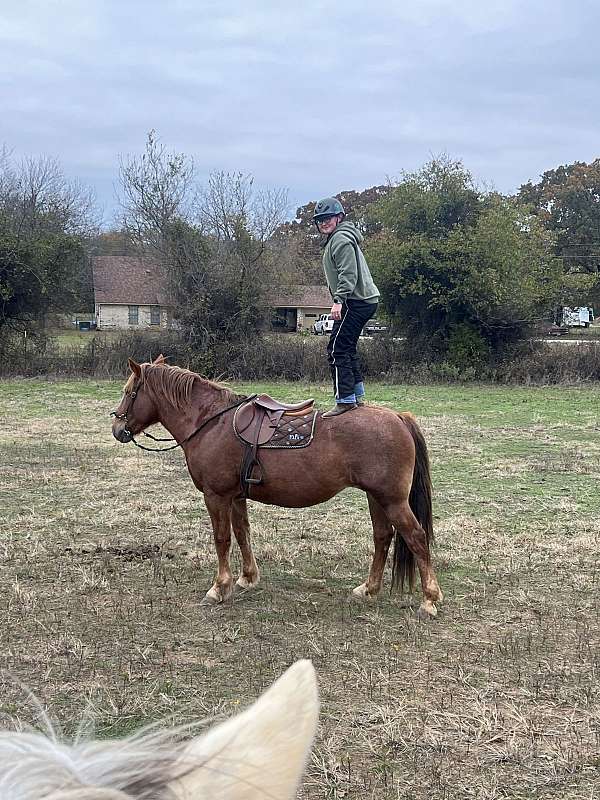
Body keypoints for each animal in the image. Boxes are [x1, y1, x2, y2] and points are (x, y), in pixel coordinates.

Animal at [110, 358, 442, 620]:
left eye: (129, 392)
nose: (117, 429)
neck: (211, 422)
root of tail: (398, 417)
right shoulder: (236, 496)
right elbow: (242, 532)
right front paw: (247, 577)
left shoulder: (216, 496)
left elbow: (222, 539)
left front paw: (219, 588)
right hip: (377, 498)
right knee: (382, 537)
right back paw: (369, 589)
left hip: (393, 500)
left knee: (416, 537)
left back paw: (429, 599)